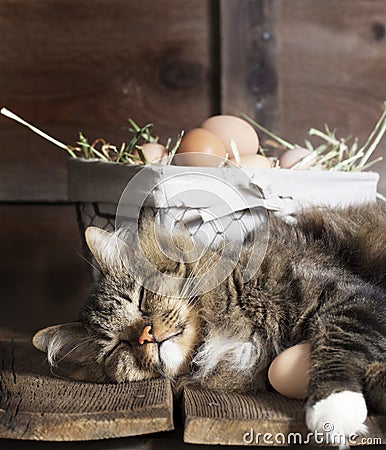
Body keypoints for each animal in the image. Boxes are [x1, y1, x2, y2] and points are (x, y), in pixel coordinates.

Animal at [34, 203, 386, 440]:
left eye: (142, 300)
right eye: (118, 345)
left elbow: (338, 344)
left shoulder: (350, 294)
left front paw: (334, 409)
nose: (147, 335)